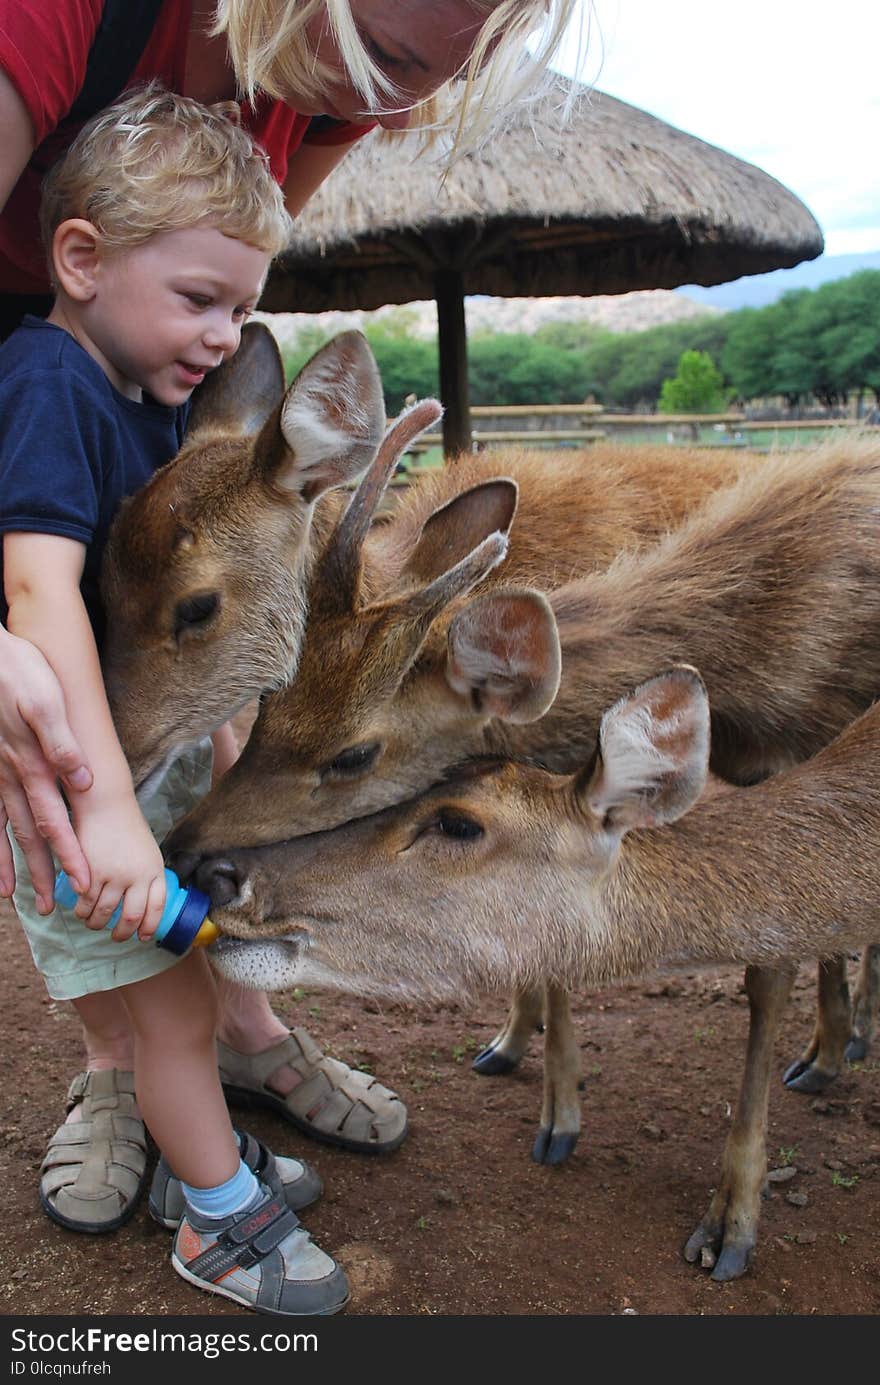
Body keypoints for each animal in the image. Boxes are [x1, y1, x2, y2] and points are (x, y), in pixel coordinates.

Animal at [168, 434, 880, 1157]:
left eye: (352, 755)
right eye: (266, 701)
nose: (182, 847)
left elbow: (771, 963)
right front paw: (536, 1082)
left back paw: (843, 1040)